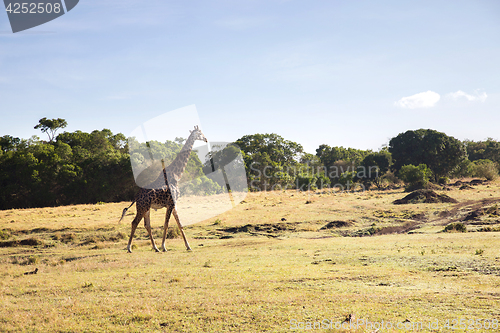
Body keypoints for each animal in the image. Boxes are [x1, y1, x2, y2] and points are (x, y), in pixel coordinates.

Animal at [120, 124, 208, 252]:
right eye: (200, 133)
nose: (206, 139)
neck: (177, 175)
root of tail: (136, 197)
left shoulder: (174, 203)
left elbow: (179, 224)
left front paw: (188, 246)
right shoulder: (170, 203)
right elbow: (166, 224)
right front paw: (164, 247)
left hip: (146, 208)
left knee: (147, 225)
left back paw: (155, 248)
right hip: (142, 207)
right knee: (134, 222)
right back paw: (129, 248)